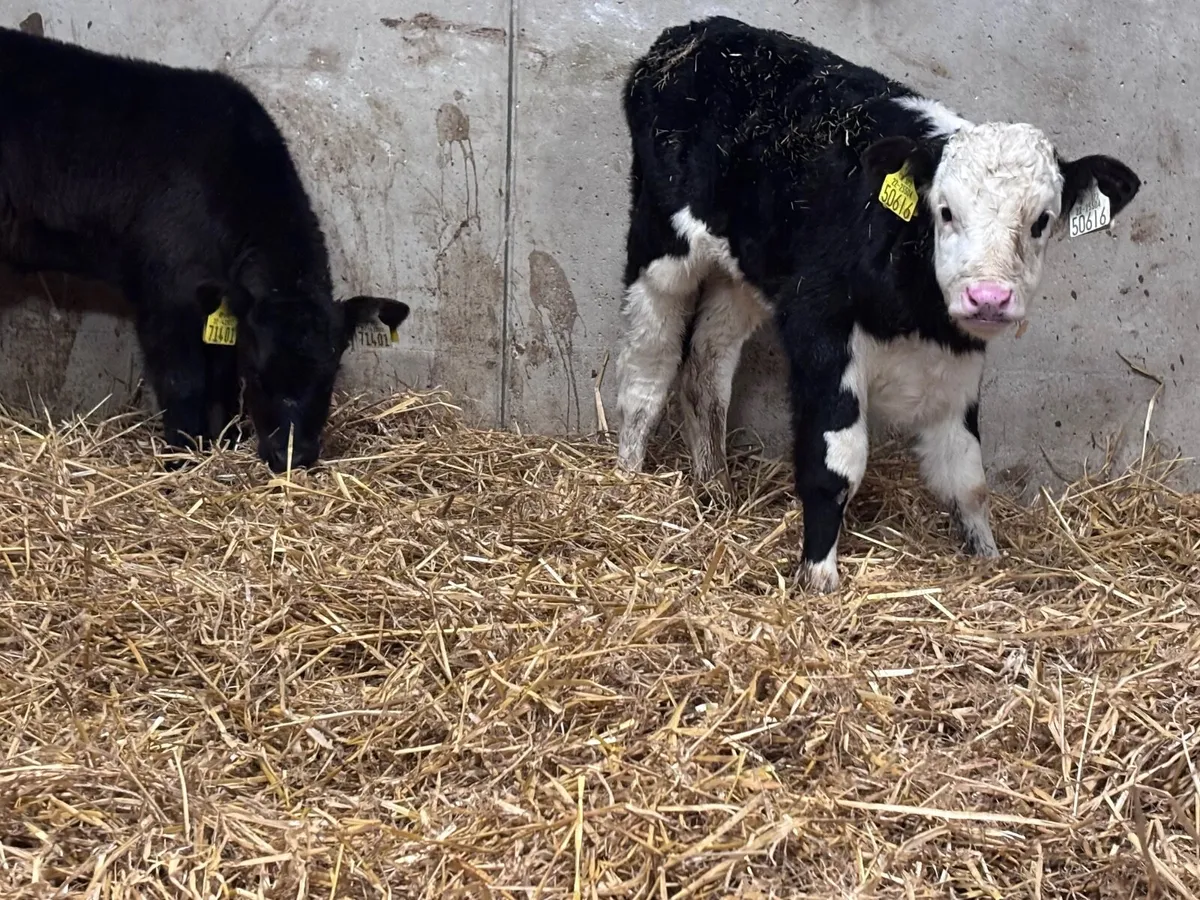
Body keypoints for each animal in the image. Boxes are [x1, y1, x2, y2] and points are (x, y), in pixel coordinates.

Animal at [0, 26, 410, 472]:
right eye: (258, 375)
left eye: (329, 376)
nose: (292, 456)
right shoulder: (166, 298)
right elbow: (184, 382)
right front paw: (182, 455)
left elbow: (220, 379)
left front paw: (224, 439)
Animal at [613, 16, 1141, 593]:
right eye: (945, 210)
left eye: (1042, 220)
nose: (989, 297)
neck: (915, 311)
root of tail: (694, 31)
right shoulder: (819, 328)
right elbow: (837, 464)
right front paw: (819, 578)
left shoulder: (957, 361)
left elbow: (967, 477)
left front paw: (988, 559)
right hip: (659, 242)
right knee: (647, 368)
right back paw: (626, 480)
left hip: (744, 272)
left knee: (706, 367)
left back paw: (716, 491)